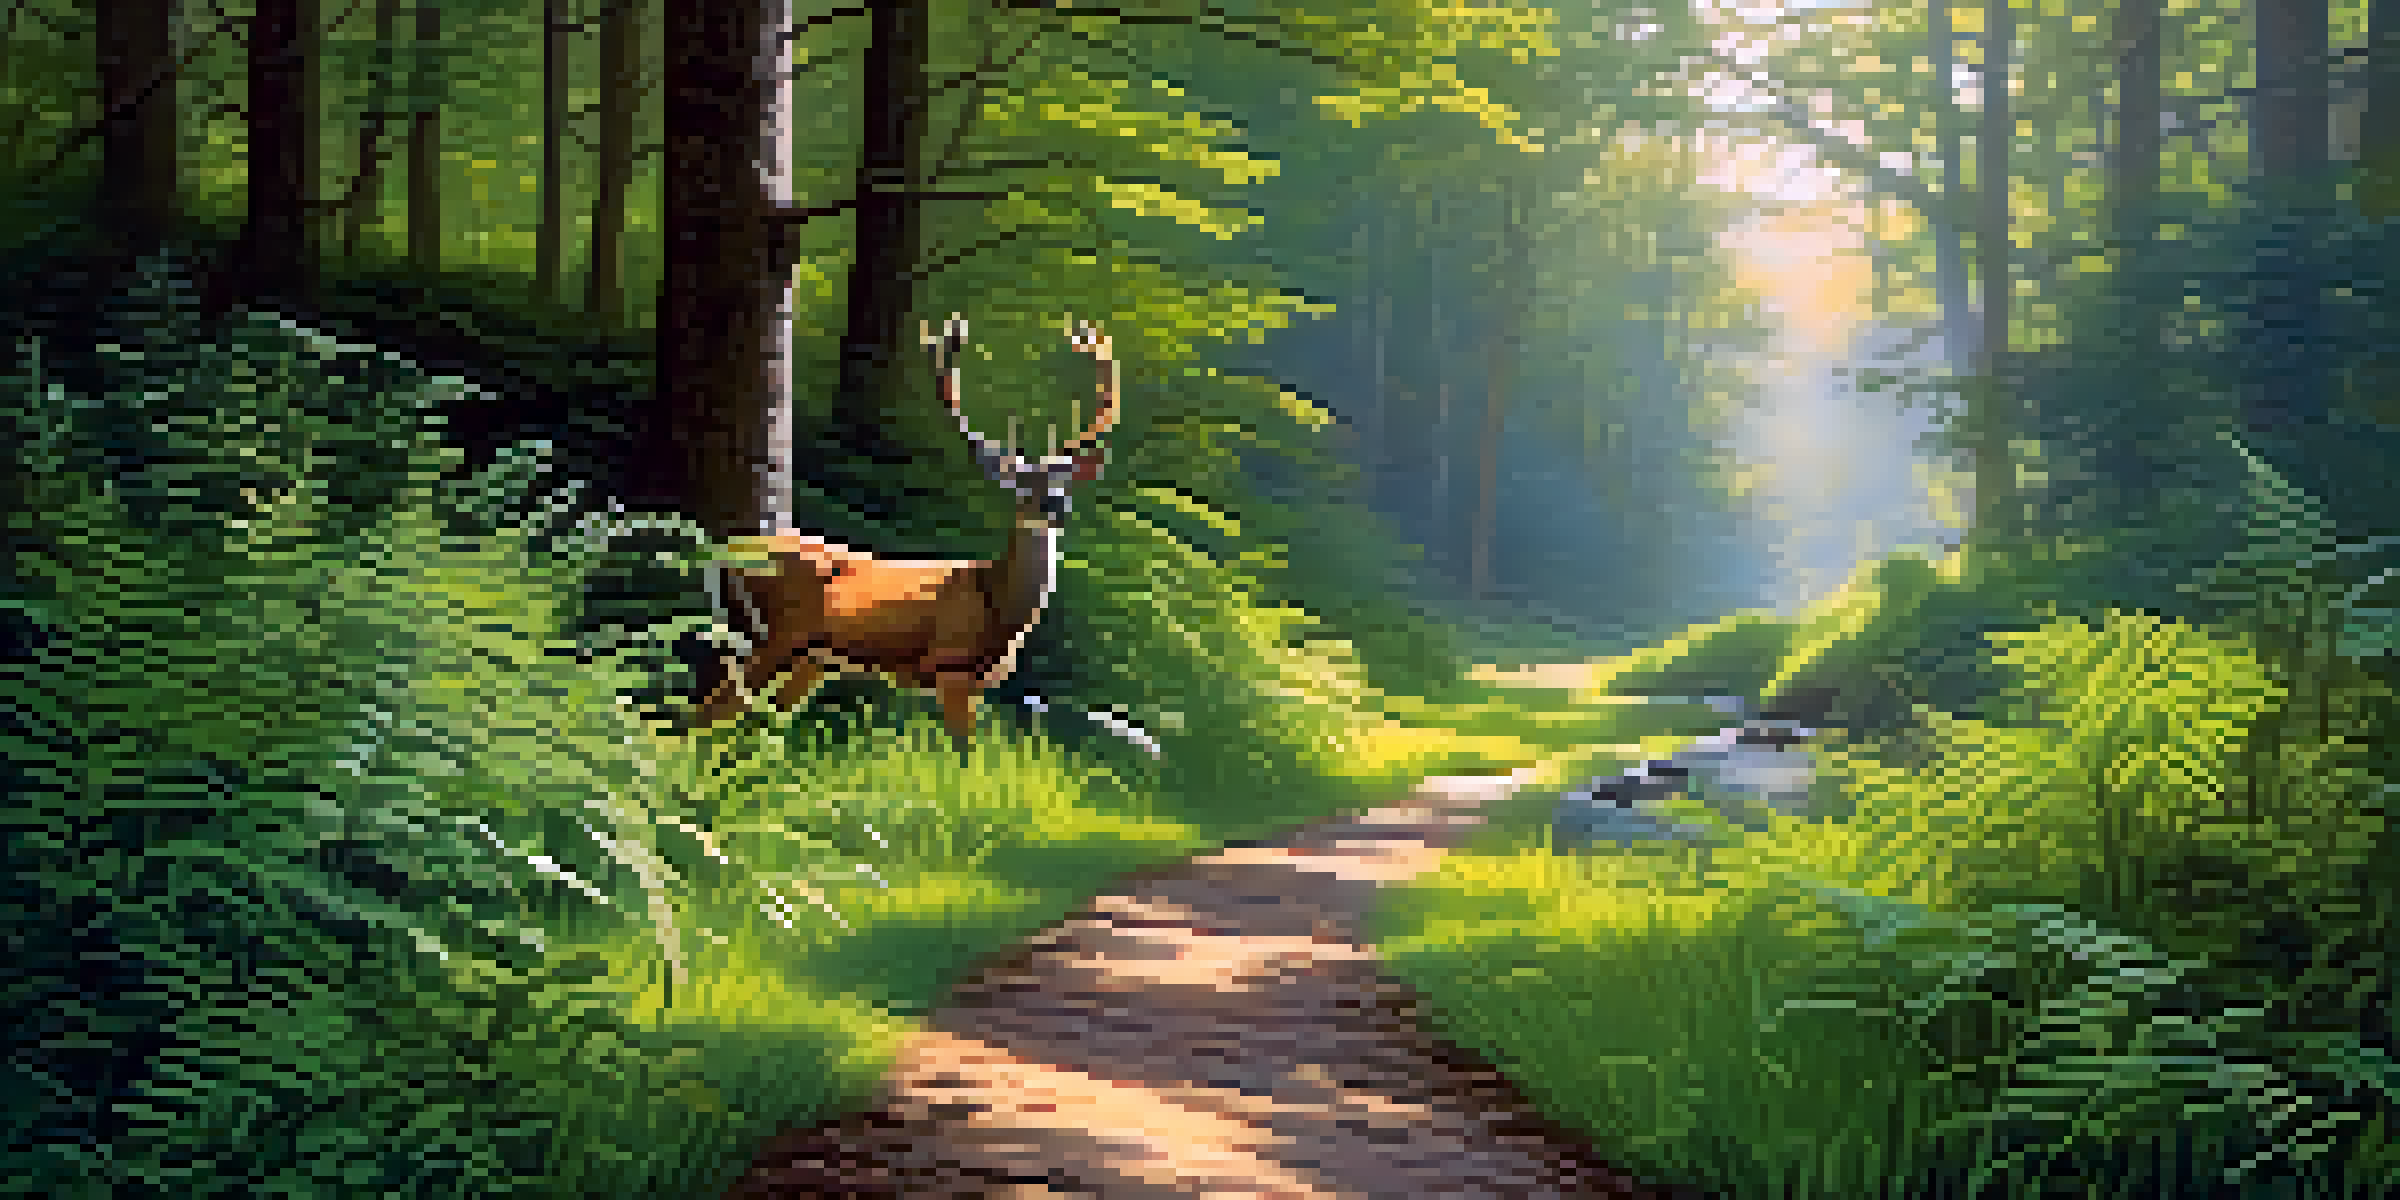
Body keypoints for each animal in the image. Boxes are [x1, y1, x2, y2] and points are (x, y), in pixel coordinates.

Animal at [690, 314, 1120, 759]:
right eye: (1018, 488)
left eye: (1064, 484)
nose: (1054, 505)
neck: (998, 610)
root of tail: (724, 553)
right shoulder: (949, 669)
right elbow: (965, 759)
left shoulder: (976, 686)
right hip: (773, 631)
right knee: (707, 713)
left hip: (809, 657)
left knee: (752, 722)